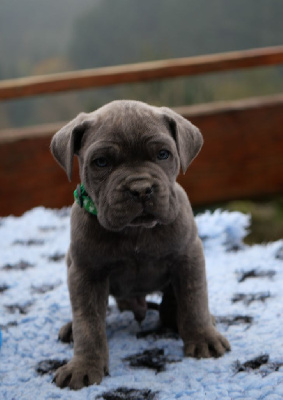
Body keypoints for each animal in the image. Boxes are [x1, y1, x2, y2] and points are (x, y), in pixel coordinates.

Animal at [50, 101, 231, 390]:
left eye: (163, 154)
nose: (141, 188)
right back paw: (70, 328)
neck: (135, 231)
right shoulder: (85, 273)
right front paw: (84, 365)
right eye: (101, 162)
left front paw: (203, 337)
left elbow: (193, 299)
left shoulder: (188, 255)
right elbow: (88, 323)